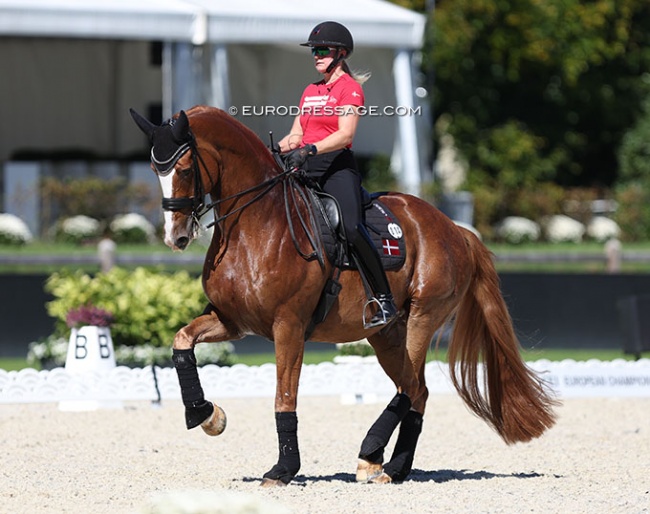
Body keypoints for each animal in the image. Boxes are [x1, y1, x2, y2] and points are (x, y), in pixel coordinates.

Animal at [129, 105, 556, 484]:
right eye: (154, 170)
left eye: (185, 169)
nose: (175, 237)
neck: (257, 224)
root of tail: (456, 229)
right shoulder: (233, 320)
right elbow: (181, 342)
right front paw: (206, 414)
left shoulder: (289, 326)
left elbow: (284, 397)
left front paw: (283, 470)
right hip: (387, 335)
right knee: (414, 390)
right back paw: (392, 466)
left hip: (422, 316)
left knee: (411, 386)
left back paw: (371, 456)